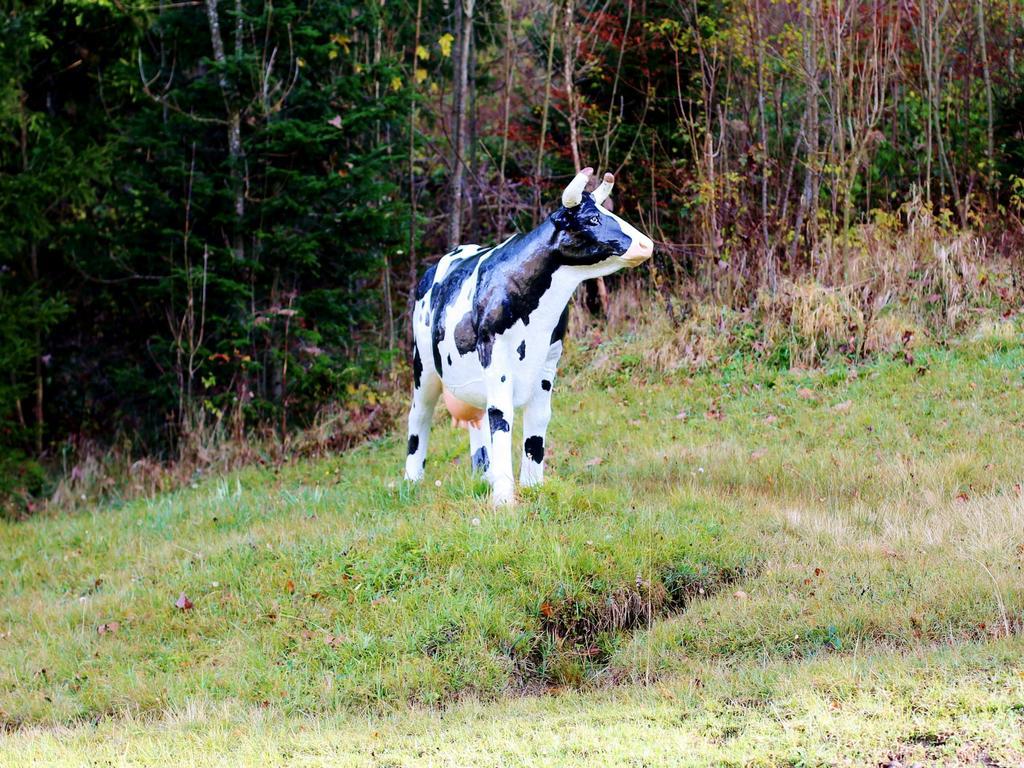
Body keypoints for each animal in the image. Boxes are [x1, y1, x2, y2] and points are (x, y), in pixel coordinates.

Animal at [403, 165, 651, 507]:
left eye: (607, 212)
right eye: (592, 219)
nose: (645, 245)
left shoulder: (549, 357)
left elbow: (538, 418)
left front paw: (532, 486)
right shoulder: (493, 351)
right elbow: (501, 416)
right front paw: (504, 499)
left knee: (477, 419)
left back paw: (484, 476)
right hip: (424, 367)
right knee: (419, 417)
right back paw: (411, 482)